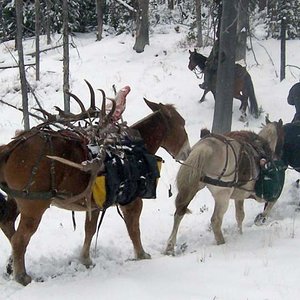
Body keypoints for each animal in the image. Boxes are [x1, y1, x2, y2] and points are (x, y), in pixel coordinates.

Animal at [0, 87, 191, 286]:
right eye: (182, 123)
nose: (187, 151)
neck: (132, 149)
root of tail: (11, 147)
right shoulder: (132, 201)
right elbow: (133, 229)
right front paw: (142, 255)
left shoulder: (95, 205)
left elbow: (89, 230)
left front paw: (86, 259)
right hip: (33, 206)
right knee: (19, 239)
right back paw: (22, 276)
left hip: (15, 198)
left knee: (7, 225)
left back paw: (11, 265)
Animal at [164, 119, 284, 255]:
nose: (279, 156)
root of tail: (206, 147)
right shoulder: (262, 194)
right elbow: (269, 205)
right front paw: (260, 219)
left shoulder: (239, 196)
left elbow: (240, 216)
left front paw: (240, 234)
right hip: (222, 196)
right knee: (215, 220)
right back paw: (221, 242)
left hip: (192, 187)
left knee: (179, 213)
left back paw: (170, 246)